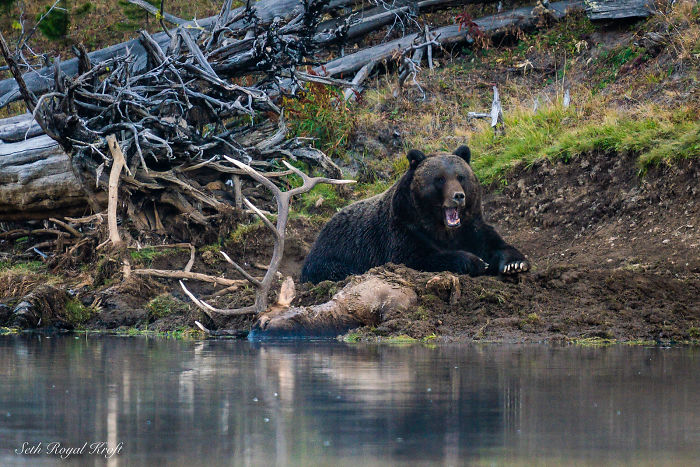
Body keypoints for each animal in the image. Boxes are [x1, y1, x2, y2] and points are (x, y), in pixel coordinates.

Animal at [300, 146, 529, 284]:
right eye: (440, 179)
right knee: (336, 269)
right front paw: (476, 262)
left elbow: (494, 244)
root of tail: (323, 227)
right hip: (332, 253)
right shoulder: (403, 231)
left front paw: (514, 264)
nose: (458, 196)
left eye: (460, 176)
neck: (442, 228)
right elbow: (418, 259)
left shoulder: (471, 227)